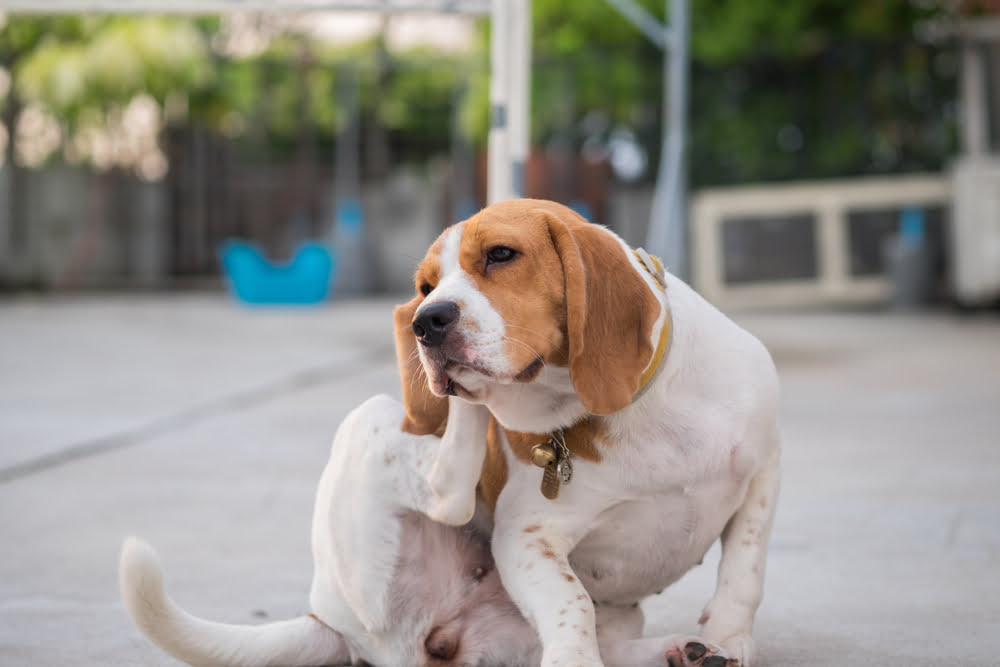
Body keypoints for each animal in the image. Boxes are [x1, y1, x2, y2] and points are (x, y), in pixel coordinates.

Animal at [396, 200, 780, 667]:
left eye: (500, 254)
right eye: (426, 285)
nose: (425, 321)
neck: (636, 409)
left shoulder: (764, 469)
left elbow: (746, 566)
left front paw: (730, 634)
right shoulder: (527, 536)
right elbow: (572, 600)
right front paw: (573, 657)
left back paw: (686, 652)